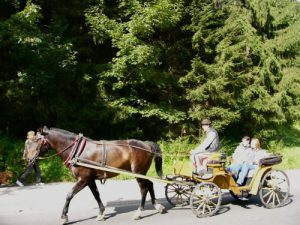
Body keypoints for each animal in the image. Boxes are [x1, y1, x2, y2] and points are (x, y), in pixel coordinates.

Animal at [27, 126, 165, 223]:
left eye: (34, 141)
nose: (28, 159)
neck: (77, 151)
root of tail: (146, 144)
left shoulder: (83, 179)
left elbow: (69, 195)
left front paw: (64, 216)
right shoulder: (89, 179)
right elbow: (96, 195)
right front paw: (101, 213)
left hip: (138, 172)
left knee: (143, 189)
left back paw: (139, 212)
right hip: (142, 173)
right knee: (150, 184)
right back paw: (158, 206)